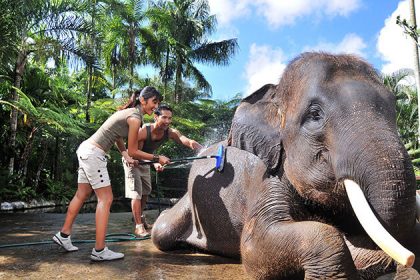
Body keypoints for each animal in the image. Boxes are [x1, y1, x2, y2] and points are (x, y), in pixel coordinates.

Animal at [152, 52, 420, 278]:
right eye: (315, 115)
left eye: (393, 108)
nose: (408, 260)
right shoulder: (266, 176)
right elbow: (253, 245)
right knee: (162, 232)